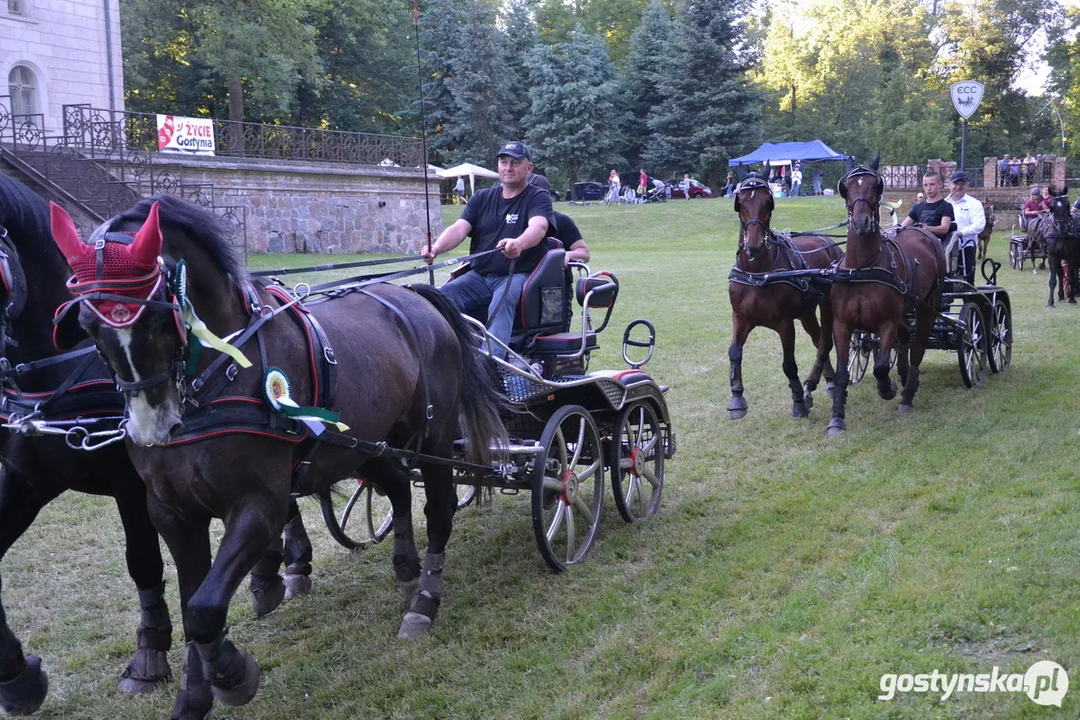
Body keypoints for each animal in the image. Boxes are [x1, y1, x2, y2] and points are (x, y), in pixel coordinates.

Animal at [50, 195, 505, 720]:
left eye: (161, 317)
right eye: (87, 326)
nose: (152, 428)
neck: (220, 374)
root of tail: (413, 296)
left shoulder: (258, 506)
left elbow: (204, 608)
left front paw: (232, 676)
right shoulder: (172, 513)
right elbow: (193, 604)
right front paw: (195, 695)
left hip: (432, 440)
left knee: (439, 509)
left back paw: (425, 599)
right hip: (364, 445)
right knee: (395, 486)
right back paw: (407, 567)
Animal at [725, 172, 842, 418]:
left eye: (768, 203)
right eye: (741, 202)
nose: (753, 245)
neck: (759, 274)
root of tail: (828, 242)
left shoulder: (784, 323)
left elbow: (789, 364)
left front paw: (798, 401)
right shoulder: (740, 318)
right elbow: (734, 352)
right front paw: (737, 398)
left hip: (827, 304)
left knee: (825, 342)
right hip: (806, 313)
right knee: (818, 339)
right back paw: (828, 380)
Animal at [825, 158, 946, 436]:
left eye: (875, 185)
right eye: (847, 187)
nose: (861, 222)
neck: (862, 268)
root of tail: (923, 232)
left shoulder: (886, 322)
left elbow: (880, 366)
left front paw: (887, 388)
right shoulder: (842, 325)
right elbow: (841, 373)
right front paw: (837, 417)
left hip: (928, 305)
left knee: (918, 345)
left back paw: (908, 393)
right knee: (906, 337)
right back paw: (903, 375)